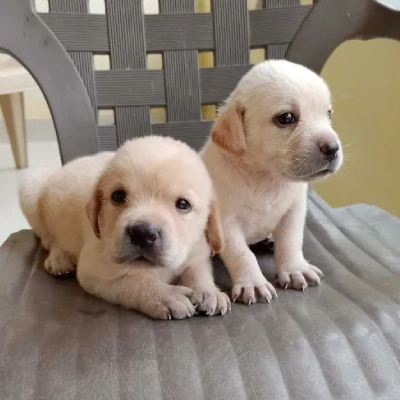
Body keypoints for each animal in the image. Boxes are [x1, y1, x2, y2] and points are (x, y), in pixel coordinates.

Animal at [20, 136, 230, 320]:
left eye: (183, 204)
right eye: (118, 196)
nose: (142, 234)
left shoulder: (197, 251)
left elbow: (198, 271)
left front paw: (208, 291)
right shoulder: (96, 268)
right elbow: (136, 280)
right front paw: (166, 295)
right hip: (30, 190)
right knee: (48, 238)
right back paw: (59, 258)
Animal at [202, 58, 342, 304]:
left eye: (328, 114)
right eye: (286, 118)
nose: (333, 148)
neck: (266, 178)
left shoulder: (294, 212)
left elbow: (291, 241)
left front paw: (295, 268)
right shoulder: (226, 224)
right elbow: (242, 254)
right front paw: (253, 282)